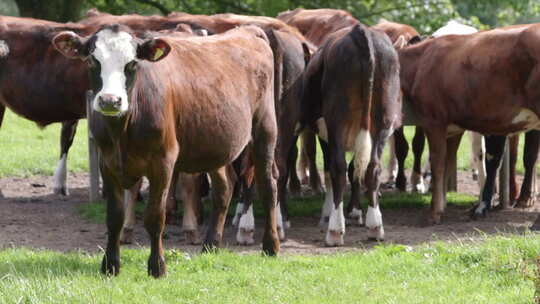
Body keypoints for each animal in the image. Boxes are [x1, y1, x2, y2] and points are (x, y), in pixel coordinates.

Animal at [52, 23, 280, 276]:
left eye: (132, 63)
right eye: (93, 60)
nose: (110, 100)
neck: (122, 131)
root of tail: (247, 30)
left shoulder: (163, 162)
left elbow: (154, 216)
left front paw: (157, 266)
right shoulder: (107, 163)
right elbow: (114, 217)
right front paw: (110, 265)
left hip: (265, 130)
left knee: (268, 185)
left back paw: (270, 246)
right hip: (214, 143)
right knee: (224, 187)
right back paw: (211, 244)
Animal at [300, 25, 400, 246]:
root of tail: (362, 31)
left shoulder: (326, 135)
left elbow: (332, 169)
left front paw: (328, 213)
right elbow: (355, 168)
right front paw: (355, 211)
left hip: (337, 120)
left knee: (337, 167)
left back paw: (335, 230)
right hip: (383, 121)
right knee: (372, 168)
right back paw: (375, 226)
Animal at [396, 24, 540, 223]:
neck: (422, 62)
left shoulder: (434, 121)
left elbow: (438, 163)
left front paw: (434, 213)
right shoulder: (453, 128)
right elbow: (448, 162)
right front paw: (442, 205)